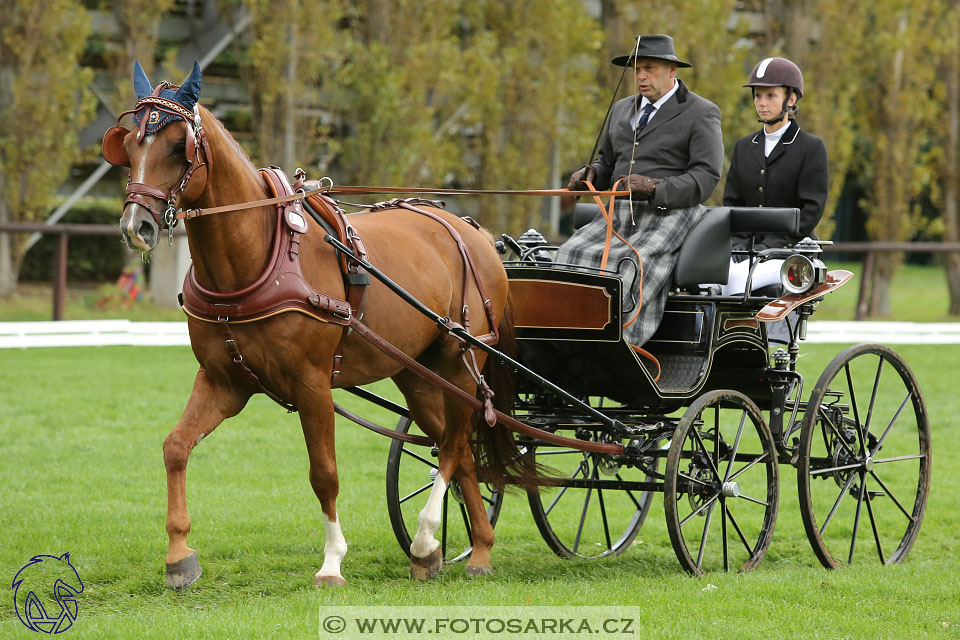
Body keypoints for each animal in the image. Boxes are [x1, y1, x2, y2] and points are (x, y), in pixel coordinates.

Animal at [108, 62, 520, 588]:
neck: (258, 256)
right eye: (129, 145)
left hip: (462, 360)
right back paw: (473, 551)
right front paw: (179, 555)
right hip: (417, 373)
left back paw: (428, 536)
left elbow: (323, 472)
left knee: (450, 445)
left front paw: (331, 562)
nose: (135, 226)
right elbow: (175, 447)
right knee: (461, 446)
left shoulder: (312, 383)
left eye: (180, 147)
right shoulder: (224, 381)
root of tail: (476, 233)